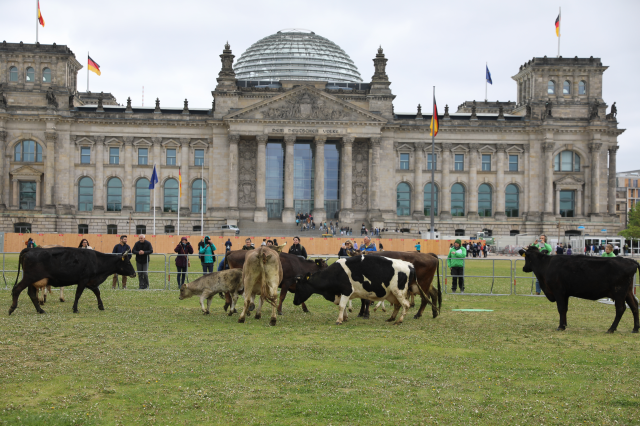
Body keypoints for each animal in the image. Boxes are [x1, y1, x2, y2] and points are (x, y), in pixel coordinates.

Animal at [9, 248, 137, 314]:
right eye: (128, 262)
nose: (134, 273)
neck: (96, 260)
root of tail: (30, 250)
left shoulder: (90, 281)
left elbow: (97, 292)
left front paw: (101, 306)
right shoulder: (83, 280)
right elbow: (78, 294)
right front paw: (75, 308)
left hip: (33, 281)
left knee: (31, 294)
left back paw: (40, 310)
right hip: (29, 278)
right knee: (16, 289)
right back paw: (12, 308)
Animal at [294, 255, 422, 324]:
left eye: (299, 287)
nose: (294, 302)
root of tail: (409, 265)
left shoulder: (346, 291)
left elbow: (341, 306)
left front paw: (339, 320)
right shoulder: (341, 294)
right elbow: (344, 306)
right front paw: (345, 318)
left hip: (398, 291)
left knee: (406, 305)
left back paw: (399, 321)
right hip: (392, 294)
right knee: (398, 305)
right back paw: (391, 318)